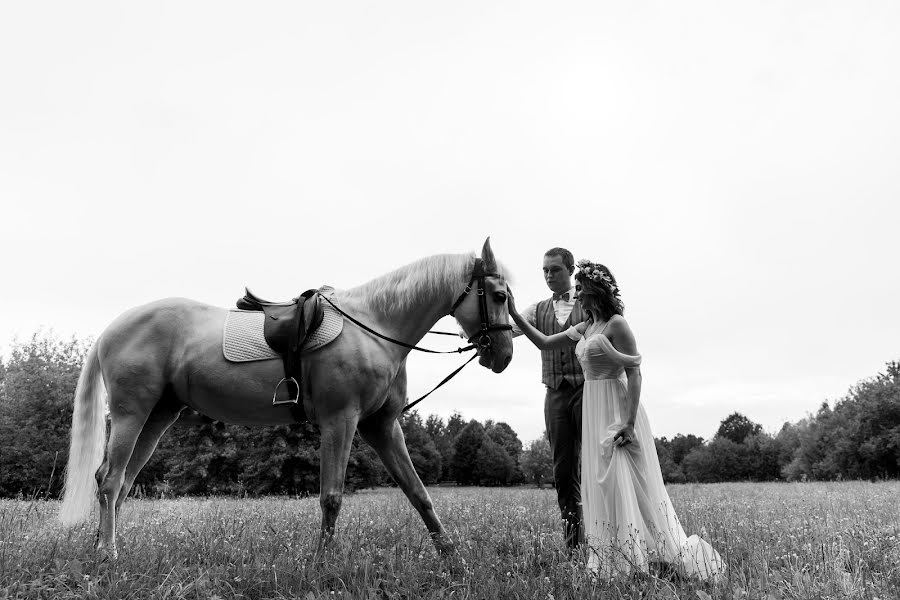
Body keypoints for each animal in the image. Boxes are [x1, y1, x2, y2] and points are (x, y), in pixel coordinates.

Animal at [58, 236, 512, 556]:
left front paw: (453, 558)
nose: (504, 355)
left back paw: (102, 548)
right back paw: (108, 554)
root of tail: (113, 327)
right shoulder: (340, 421)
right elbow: (331, 497)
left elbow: (419, 494)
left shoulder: (382, 427)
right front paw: (323, 563)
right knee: (110, 480)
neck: (374, 327)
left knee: (120, 481)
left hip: (158, 417)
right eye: (499, 296)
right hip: (131, 414)